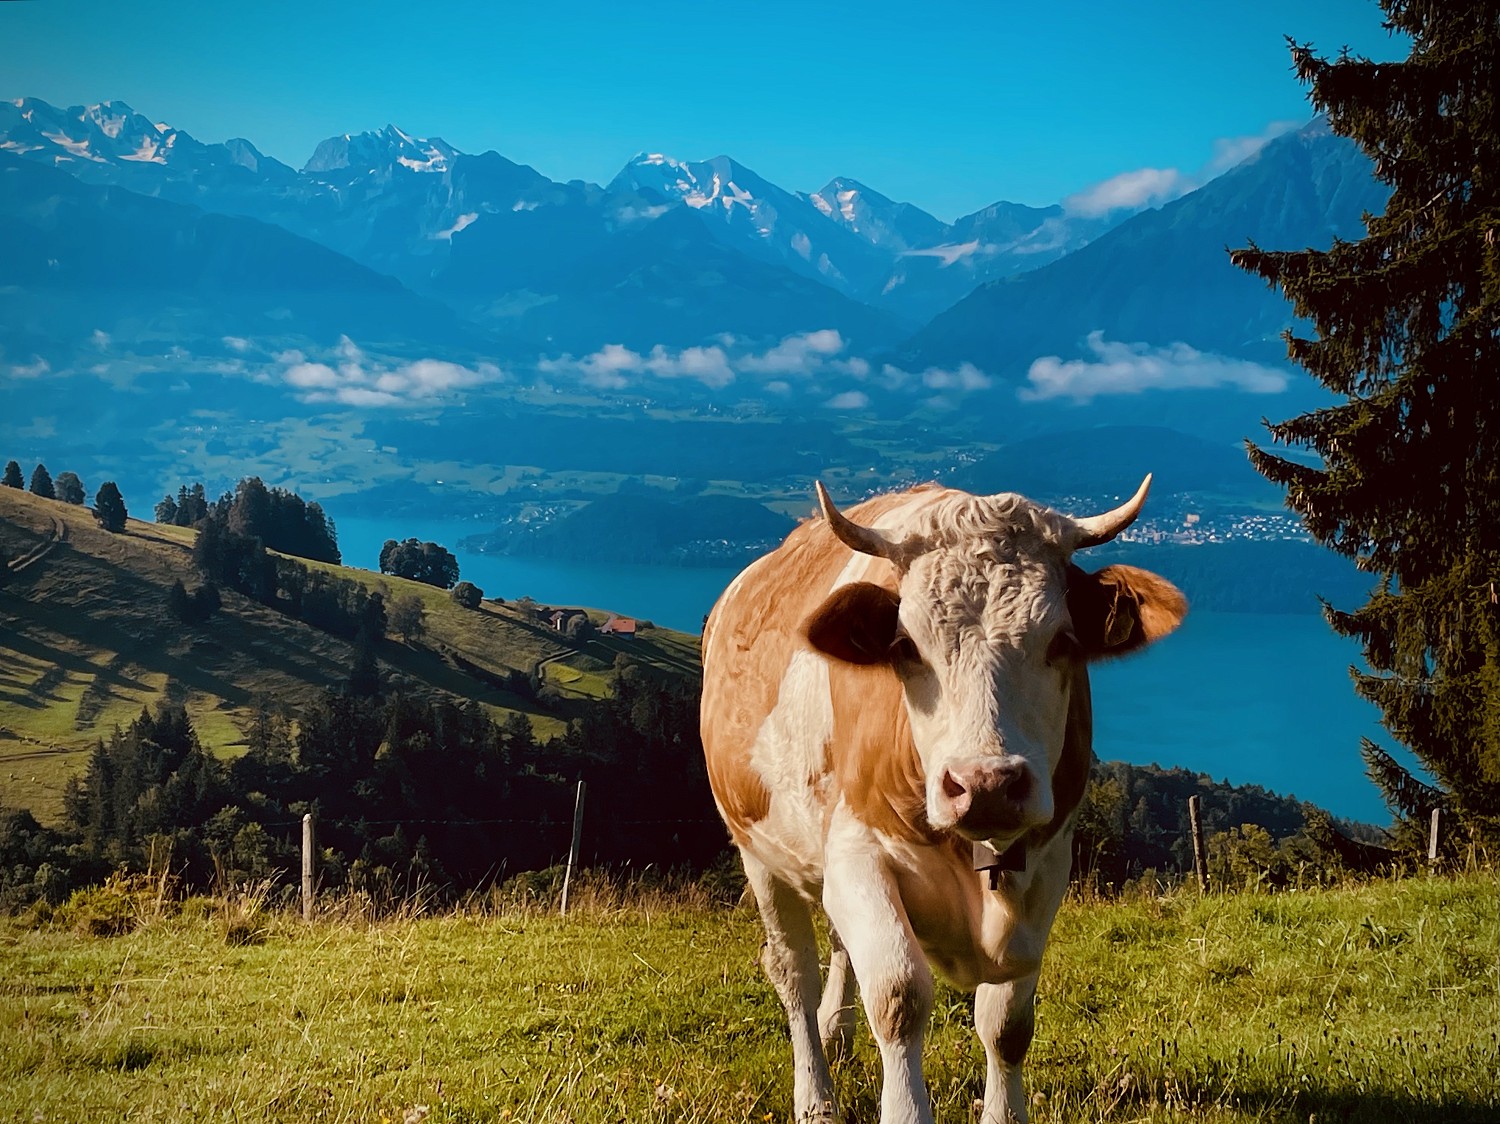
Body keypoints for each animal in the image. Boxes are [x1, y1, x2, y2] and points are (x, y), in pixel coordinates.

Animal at [699, 477, 1182, 1122]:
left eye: (1062, 641)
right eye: (906, 646)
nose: (987, 784)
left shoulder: (1049, 863)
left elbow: (1007, 1022)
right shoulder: (857, 852)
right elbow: (899, 995)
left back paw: (835, 1029)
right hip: (757, 848)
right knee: (793, 970)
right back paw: (816, 1095)